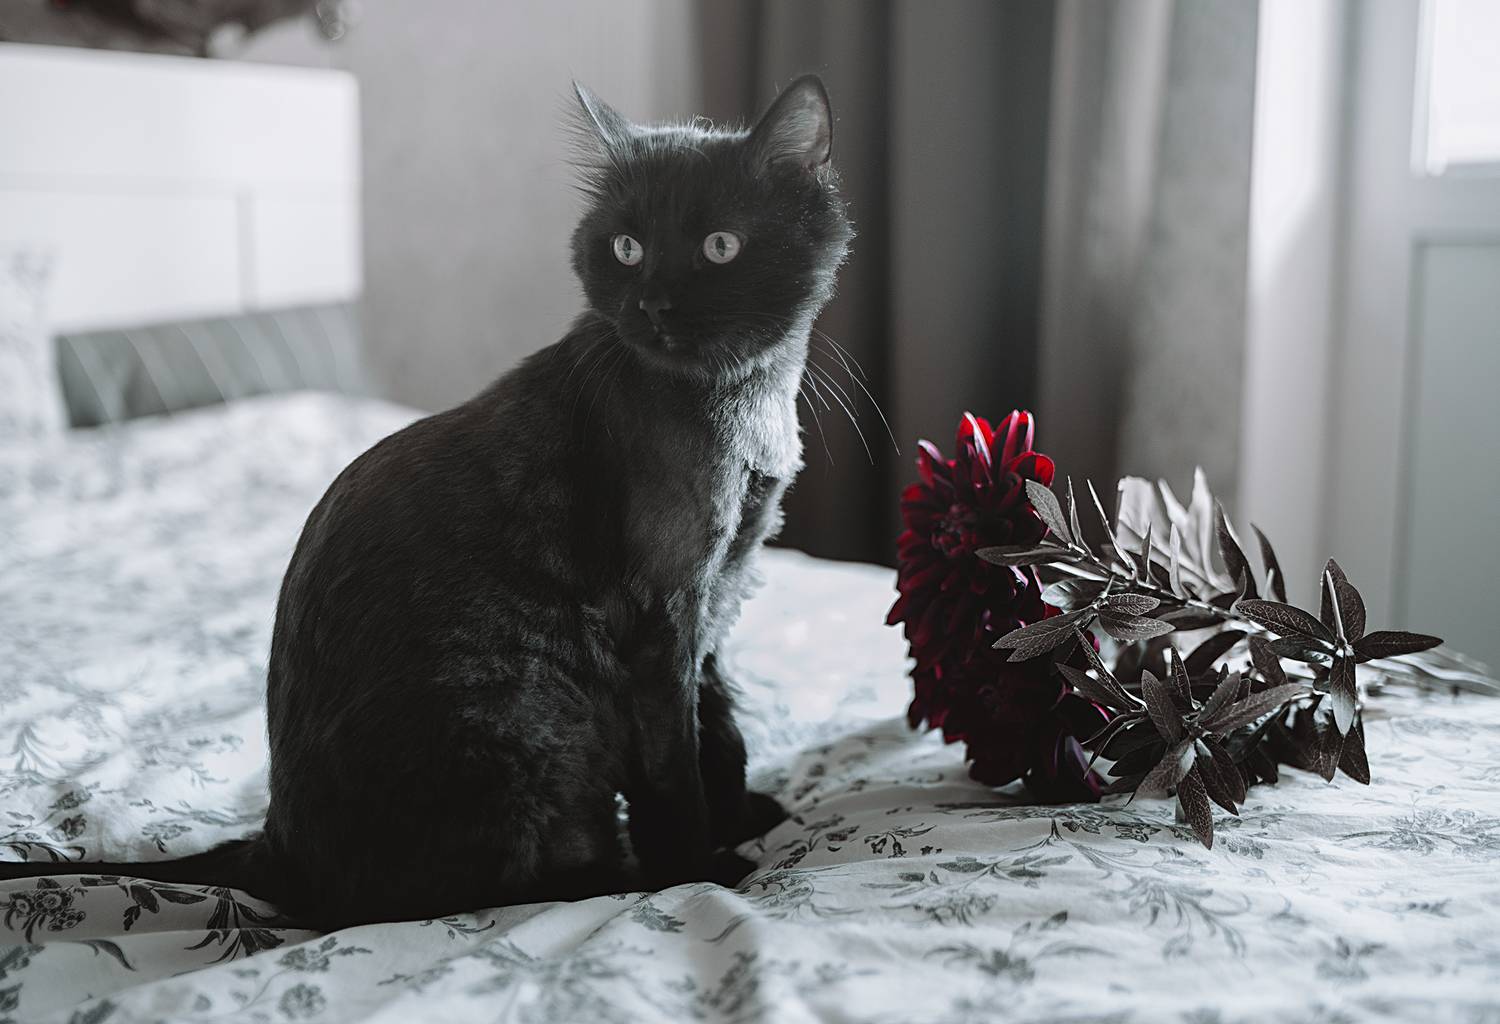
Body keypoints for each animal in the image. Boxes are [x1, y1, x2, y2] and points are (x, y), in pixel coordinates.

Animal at [0, 74, 853, 931]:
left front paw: (743, 814)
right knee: (481, 891)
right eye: (628, 248)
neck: (746, 402)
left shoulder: (722, 591)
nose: (651, 305)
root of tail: (271, 853)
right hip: (528, 710)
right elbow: (676, 766)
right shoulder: (661, 612)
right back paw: (624, 876)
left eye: (720, 247)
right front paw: (702, 868)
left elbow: (721, 725)